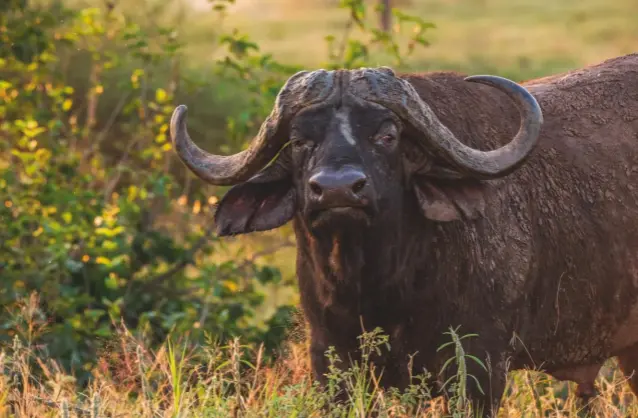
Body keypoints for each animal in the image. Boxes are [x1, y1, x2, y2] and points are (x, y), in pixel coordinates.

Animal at [169, 54, 638, 416]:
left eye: (387, 135)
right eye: (300, 140)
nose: (338, 189)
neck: (377, 287)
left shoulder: (481, 367)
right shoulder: (331, 362)